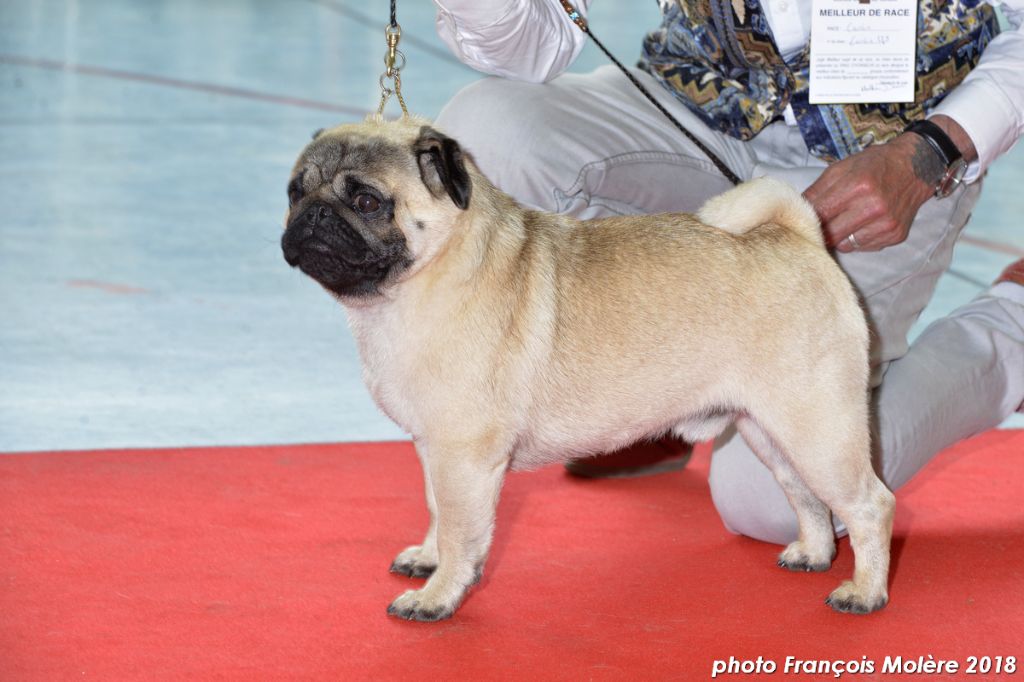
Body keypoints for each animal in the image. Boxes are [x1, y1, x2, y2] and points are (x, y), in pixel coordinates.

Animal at [281, 115, 894, 622]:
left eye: (366, 202)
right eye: (294, 192)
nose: (312, 216)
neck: (418, 284)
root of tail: (797, 236)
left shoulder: (463, 454)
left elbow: (460, 533)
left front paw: (437, 597)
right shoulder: (433, 449)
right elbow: (436, 510)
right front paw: (427, 560)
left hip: (817, 428)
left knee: (871, 505)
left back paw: (865, 593)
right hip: (770, 431)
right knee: (807, 497)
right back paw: (814, 554)